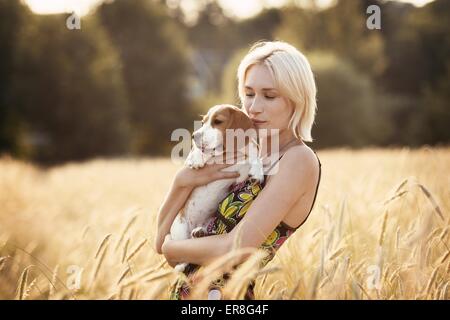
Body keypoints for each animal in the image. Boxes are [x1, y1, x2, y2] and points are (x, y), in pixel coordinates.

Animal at [171, 104, 266, 272]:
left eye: (217, 121)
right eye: (203, 122)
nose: (194, 135)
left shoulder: (240, 174)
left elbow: (254, 157)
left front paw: (257, 171)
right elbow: (196, 152)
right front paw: (197, 159)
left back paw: (199, 232)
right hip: (180, 229)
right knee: (181, 254)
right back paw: (180, 265)